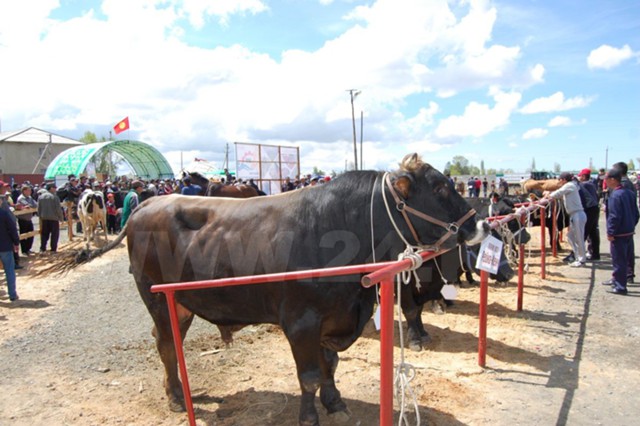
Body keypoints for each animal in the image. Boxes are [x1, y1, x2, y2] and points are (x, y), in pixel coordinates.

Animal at [85, 157, 488, 426]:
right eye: (439, 187)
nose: (480, 224)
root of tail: (148, 204)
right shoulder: (300, 321)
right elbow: (308, 375)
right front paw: (309, 416)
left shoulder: (334, 318)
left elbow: (329, 366)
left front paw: (335, 403)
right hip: (154, 296)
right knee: (167, 345)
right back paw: (175, 398)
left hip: (180, 304)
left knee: (169, 341)